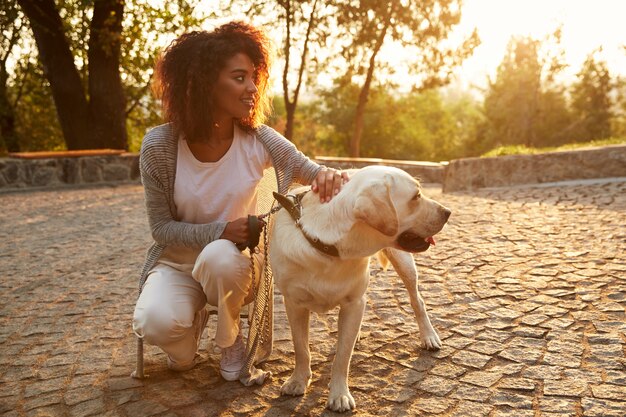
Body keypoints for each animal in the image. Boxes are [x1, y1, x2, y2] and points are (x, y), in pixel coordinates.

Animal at [268, 165, 448, 410]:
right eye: (416, 196)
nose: (448, 212)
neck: (330, 247)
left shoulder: (354, 302)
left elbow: (343, 355)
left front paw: (339, 394)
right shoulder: (294, 303)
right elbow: (301, 347)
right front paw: (298, 381)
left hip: (405, 265)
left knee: (417, 300)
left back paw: (429, 336)